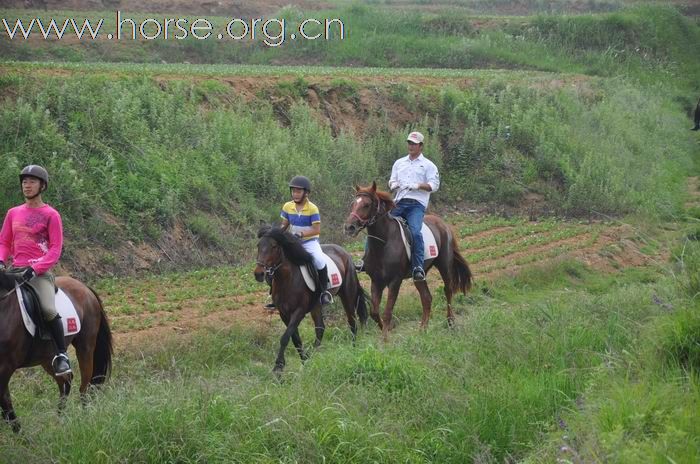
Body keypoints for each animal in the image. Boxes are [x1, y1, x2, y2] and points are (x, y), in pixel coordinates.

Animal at [0, 270, 112, 434]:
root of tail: (84, 287)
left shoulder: (5, 367)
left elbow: (7, 407)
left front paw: (21, 437)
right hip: (48, 357)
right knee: (65, 381)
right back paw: (59, 420)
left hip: (85, 346)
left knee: (84, 386)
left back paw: (84, 417)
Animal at [254, 225, 370, 374]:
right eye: (259, 245)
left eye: (274, 246)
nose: (259, 273)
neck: (287, 279)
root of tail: (344, 252)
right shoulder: (283, 314)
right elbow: (295, 338)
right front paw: (304, 361)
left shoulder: (299, 311)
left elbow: (285, 337)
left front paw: (278, 367)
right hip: (317, 306)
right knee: (320, 328)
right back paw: (313, 355)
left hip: (347, 295)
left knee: (352, 322)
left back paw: (353, 349)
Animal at [344, 182, 474, 340]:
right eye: (353, 204)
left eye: (367, 205)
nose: (349, 227)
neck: (384, 243)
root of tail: (443, 224)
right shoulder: (376, 280)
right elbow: (374, 312)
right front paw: (386, 330)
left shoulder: (395, 281)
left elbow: (387, 312)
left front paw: (385, 339)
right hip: (419, 274)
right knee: (426, 298)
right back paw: (423, 329)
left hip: (444, 265)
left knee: (448, 290)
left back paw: (450, 323)